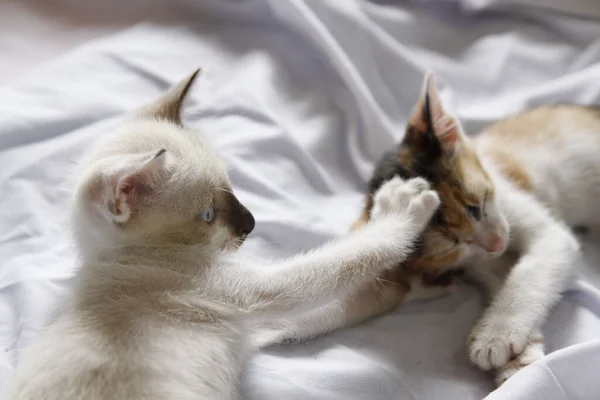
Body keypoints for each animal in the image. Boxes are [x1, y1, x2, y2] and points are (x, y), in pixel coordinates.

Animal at [2, 69, 438, 400]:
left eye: (230, 186)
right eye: (208, 215)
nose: (251, 224)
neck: (127, 257)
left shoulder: (260, 328)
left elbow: (340, 308)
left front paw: (419, 286)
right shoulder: (252, 293)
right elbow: (354, 256)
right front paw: (404, 205)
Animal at [255, 73, 584, 386]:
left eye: (477, 206)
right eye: (455, 245)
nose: (497, 243)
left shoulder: (522, 214)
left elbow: (533, 267)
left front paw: (497, 337)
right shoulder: (476, 262)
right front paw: (514, 352)